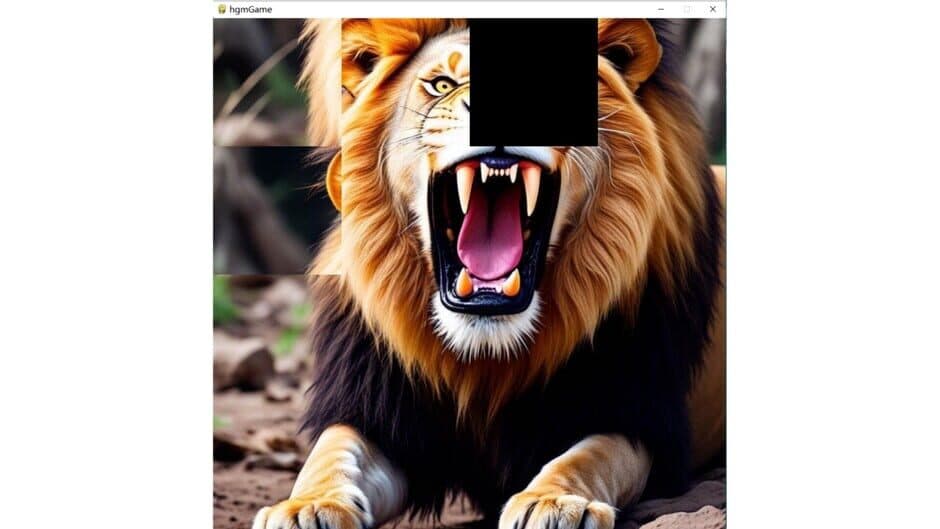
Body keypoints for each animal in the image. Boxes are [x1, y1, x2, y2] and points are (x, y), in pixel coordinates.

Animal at [253, 18, 725, 529]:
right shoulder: (376, 407)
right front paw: (307, 505)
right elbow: (332, 454)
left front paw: (553, 500)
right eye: (443, 84)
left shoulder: (637, 410)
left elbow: (589, 456)